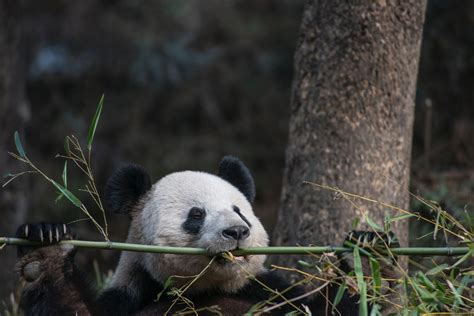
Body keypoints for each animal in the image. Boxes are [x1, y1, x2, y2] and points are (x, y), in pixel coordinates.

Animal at [16, 156, 390, 316]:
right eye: (197, 215)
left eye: (239, 210)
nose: (237, 231)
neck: (205, 289)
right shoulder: (133, 296)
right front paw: (45, 246)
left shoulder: (269, 293)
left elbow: (334, 308)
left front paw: (366, 254)